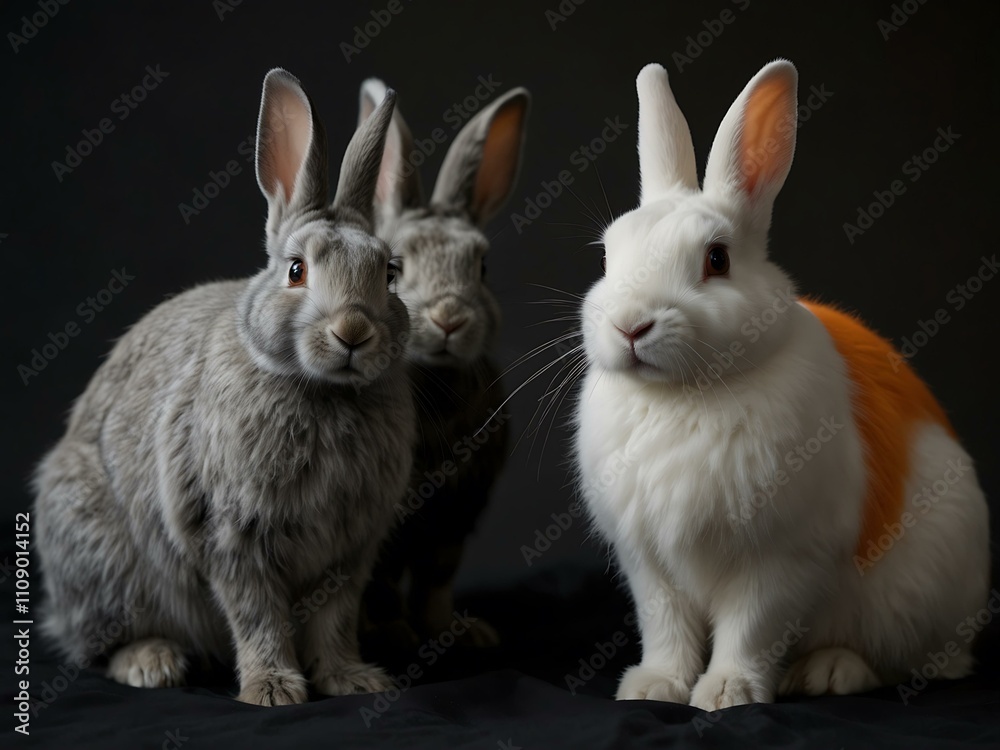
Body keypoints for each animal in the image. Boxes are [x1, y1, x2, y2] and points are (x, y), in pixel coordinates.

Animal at [32, 68, 416, 706]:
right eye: (296, 270)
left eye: (389, 274)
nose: (353, 332)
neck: (322, 390)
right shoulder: (231, 534)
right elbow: (257, 615)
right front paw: (273, 690)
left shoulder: (348, 550)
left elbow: (333, 618)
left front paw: (352, 680)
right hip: (99, 558)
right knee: (100, 643)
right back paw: (153, 663)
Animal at [353, 79, 530, 650]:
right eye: (393, 268)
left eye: (483, 266)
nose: (449, 317)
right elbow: (382, 586)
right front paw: (394, 636)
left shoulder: (455, 521)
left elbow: (435, 581)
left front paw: (460, 634)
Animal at [573, 59, 990, 711]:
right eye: (607, 257)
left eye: (717, 259)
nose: (630, 325)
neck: (686, 392)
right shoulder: (650, 563)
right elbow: (665, 627)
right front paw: (653, 687)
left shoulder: (782, 558)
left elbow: (752, 627)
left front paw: (727, 693)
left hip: (920, 601)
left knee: (907, 661)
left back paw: (830, 672)